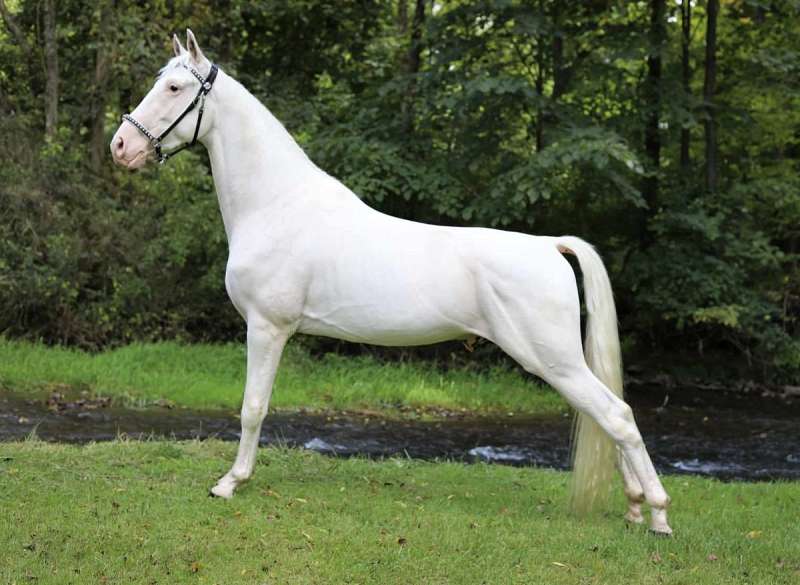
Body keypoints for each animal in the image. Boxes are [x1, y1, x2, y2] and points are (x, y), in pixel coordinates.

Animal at [111, 30, 668, 532]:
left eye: (175, 88)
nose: (120, 145)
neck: (276, 204)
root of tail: (550, 245)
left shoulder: (267, 328)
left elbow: (253, 408)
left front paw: (231, 482)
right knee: (606, 417)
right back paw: (635, 506)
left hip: (555, 361)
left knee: (617, 415)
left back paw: (659, 515)